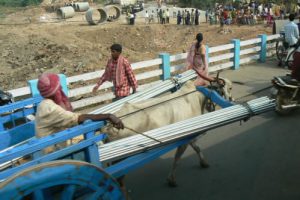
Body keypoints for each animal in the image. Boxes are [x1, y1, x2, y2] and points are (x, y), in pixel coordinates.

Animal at [103, 79, 232, 186]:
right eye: (228, 88)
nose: (232, 99)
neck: (197, 98)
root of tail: (109, 127)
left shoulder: (189, 137)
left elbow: (197, 148)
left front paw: (204, 163)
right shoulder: (184, 140)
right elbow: (177, 160)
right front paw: (171, 180)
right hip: (120, 159)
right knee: (118, 179)